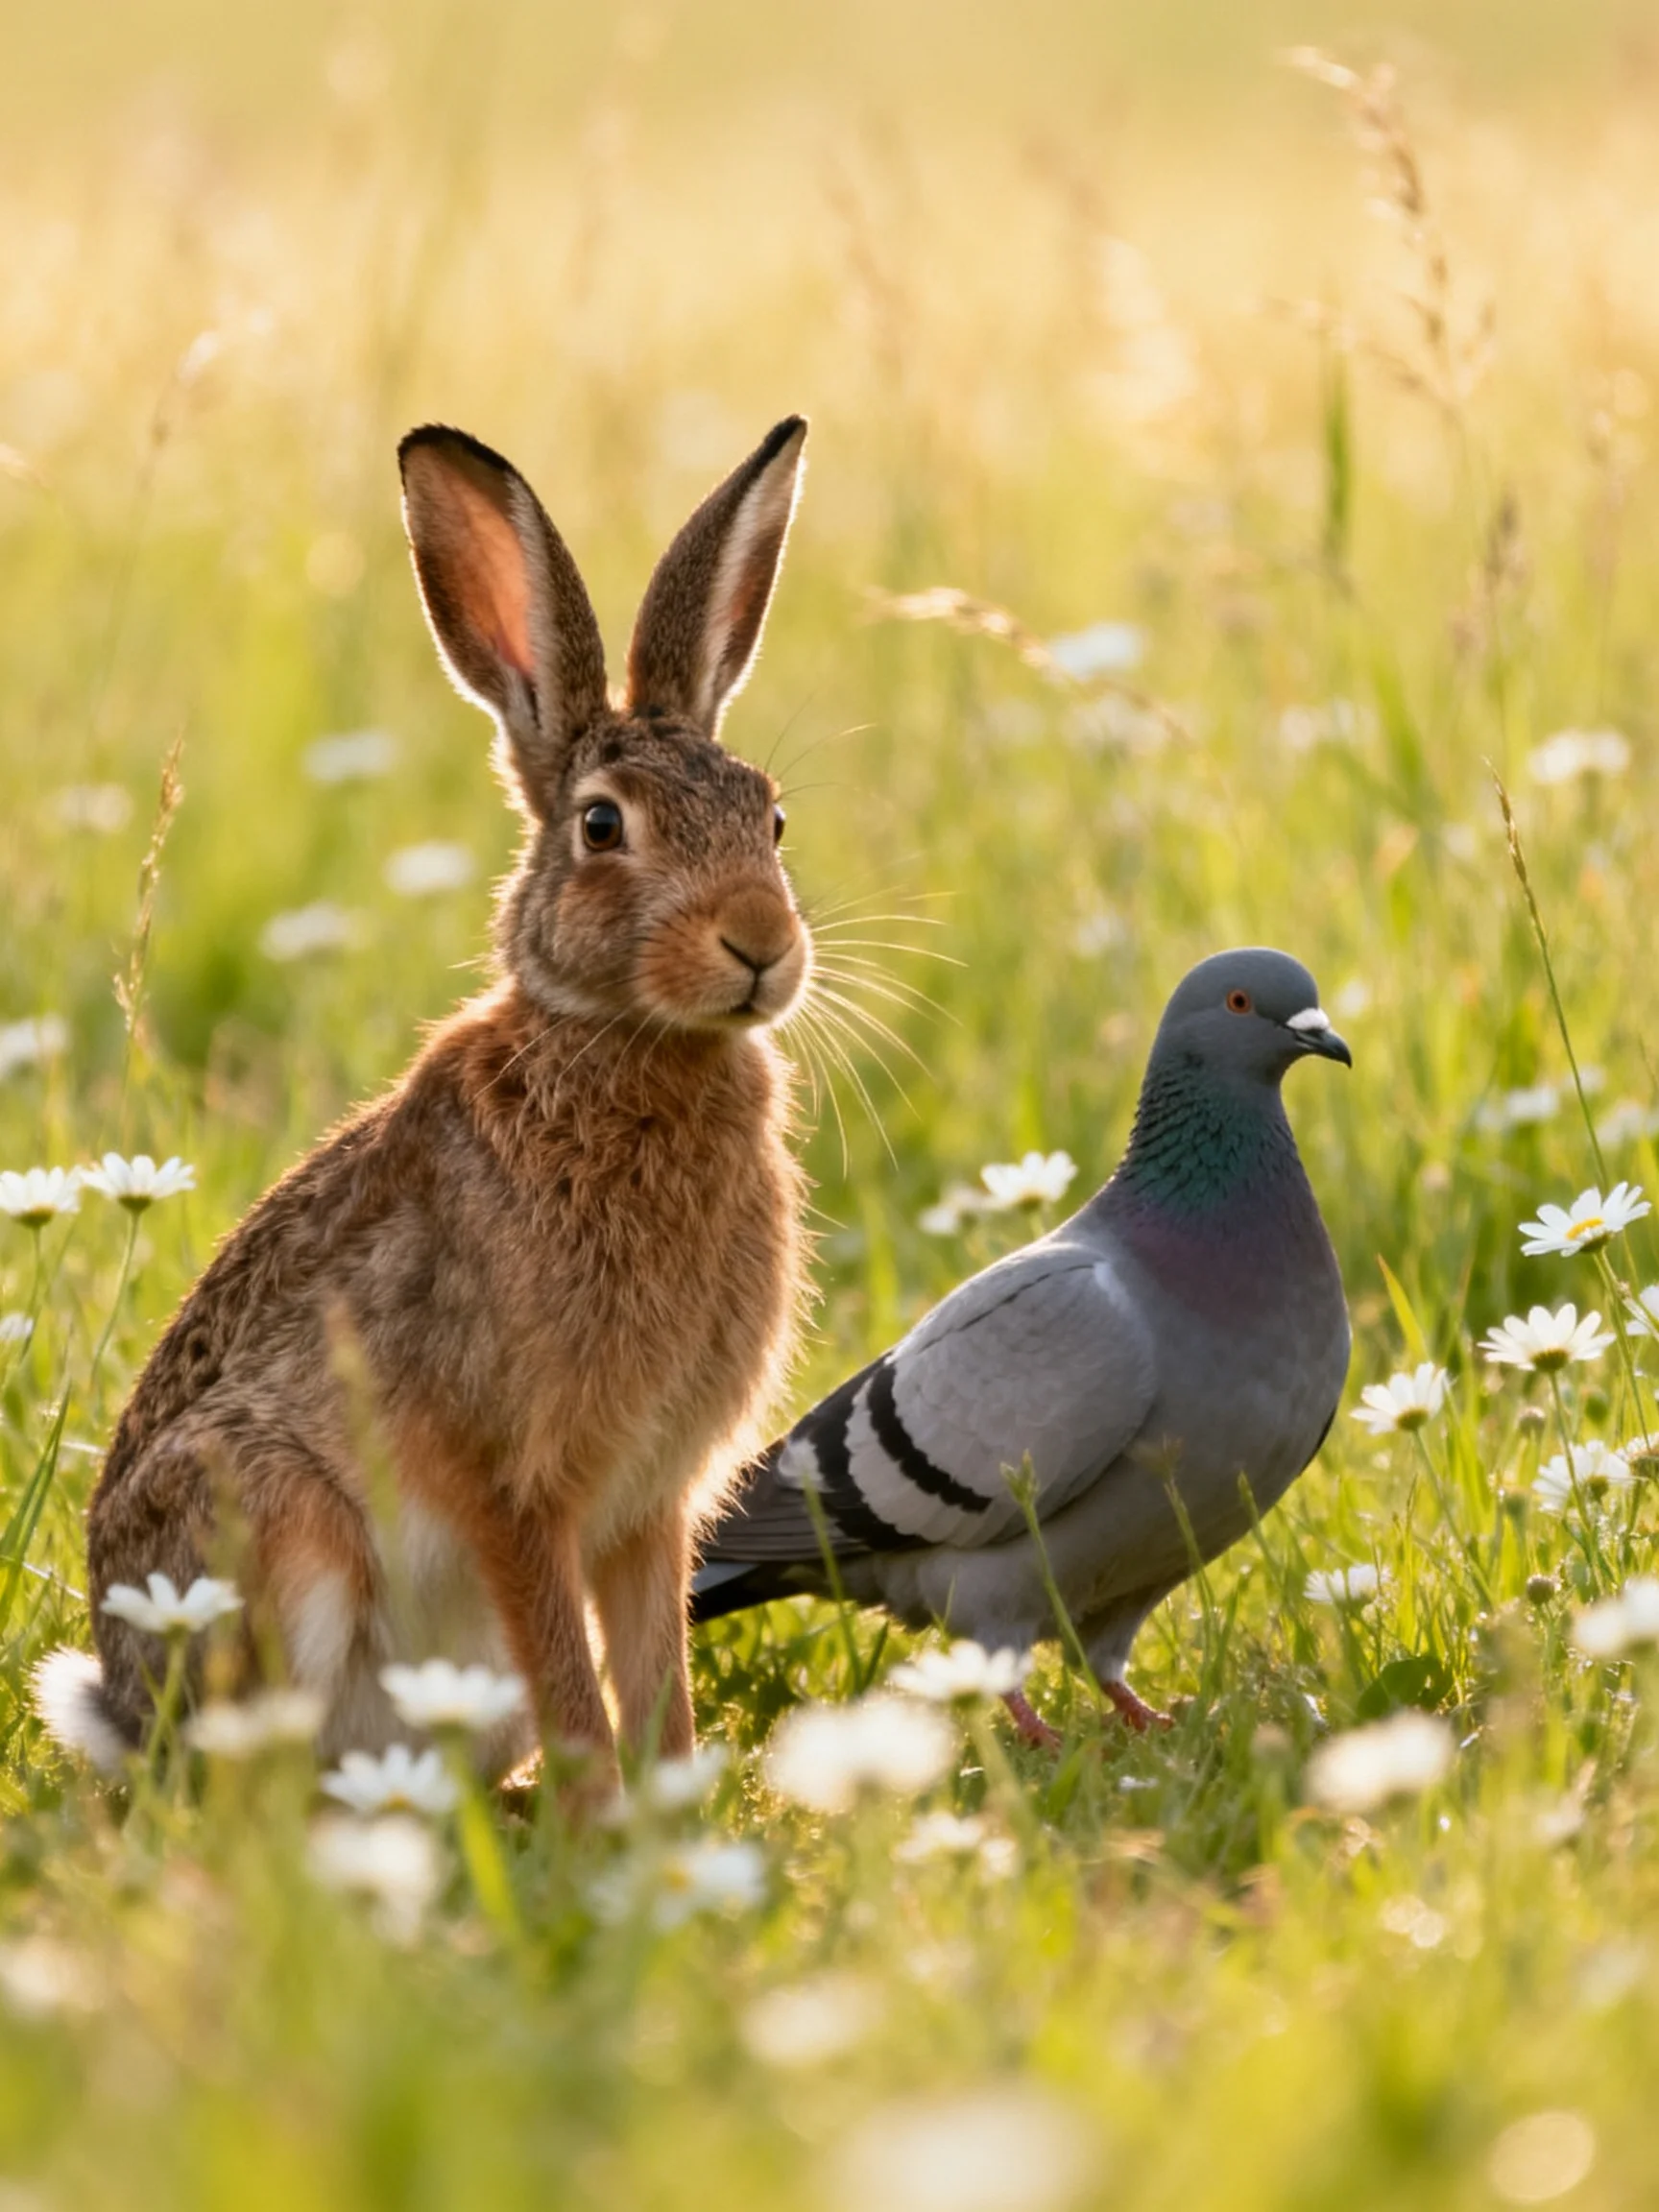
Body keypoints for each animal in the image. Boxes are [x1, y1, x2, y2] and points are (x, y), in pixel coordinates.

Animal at [41, 414, 814, 1783]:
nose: (761, 945)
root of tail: (124, 1708)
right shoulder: (511, 1484)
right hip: (276, 1524)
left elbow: (654, 1682)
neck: (623, 1051)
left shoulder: (651, 1503)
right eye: (602, 827)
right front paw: (605, 1819)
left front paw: (674, 1818)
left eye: (770, 819)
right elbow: (576, 1684)